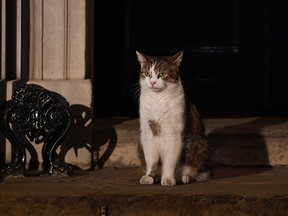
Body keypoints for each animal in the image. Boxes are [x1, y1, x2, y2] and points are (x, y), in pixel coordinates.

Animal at [136, 50, 210, 186]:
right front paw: (150, 176)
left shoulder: (173, 134)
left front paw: (168, 178)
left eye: (162, 74)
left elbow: (170, 161)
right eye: (147, 73)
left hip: (199, 146)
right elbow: (151, 160)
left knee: (194, 172)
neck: (157, 99)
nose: (152, 82)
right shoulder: (147, 133)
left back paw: (184, 177)